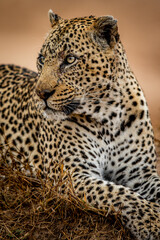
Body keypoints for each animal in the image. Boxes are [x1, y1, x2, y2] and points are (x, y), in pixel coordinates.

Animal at [0, 9, 160, 240]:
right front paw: (152, 221)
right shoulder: (72, 176)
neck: (109, 115)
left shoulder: (140, 173)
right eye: (41, 59)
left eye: (70, 59)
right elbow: (119, 194)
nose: (41, 93)